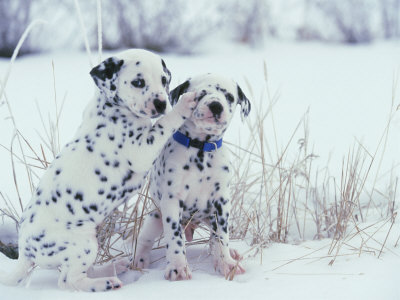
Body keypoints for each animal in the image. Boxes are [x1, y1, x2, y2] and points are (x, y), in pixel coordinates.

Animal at [0, 48, 197, 290]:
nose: (161, 103)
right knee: (68, 281)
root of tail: (25, 251)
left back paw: (112, 268)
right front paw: (184, 105)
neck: (111, 110)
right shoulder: (141, 149)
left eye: (163, 80)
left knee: (84, 270)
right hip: (83, 243)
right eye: (138, 82)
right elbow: (163, 124)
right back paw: (105, 283)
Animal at [130, 74, 250, 280]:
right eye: (200, 94)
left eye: (229, 97)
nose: (216, 106)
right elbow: (175, 238)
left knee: (213, 240)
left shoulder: (222, 203)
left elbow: (221, 237)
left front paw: (226, 263)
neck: (200, 149)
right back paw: (139, 261)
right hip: (155, 218)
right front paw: (178, 268)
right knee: (145, 240)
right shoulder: (172, 201)